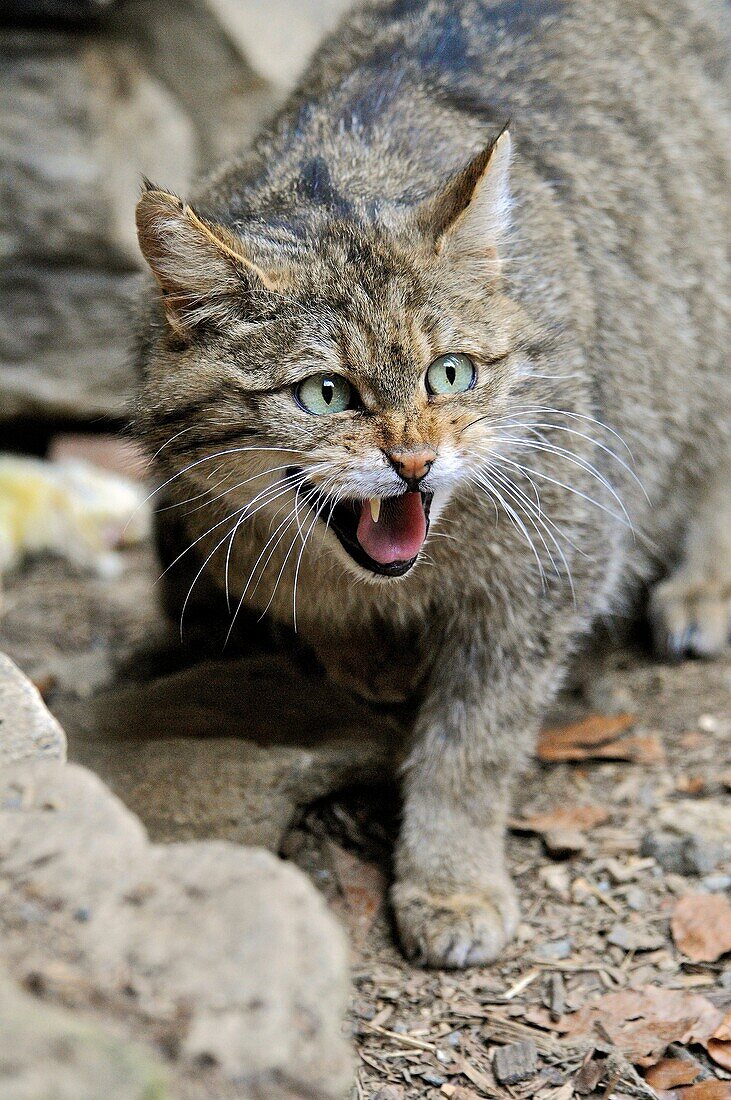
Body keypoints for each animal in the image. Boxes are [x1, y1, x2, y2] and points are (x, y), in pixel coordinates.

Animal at [132, 0, 729, 963]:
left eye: (449, 375)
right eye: (325, 393)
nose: (412, 461)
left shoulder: (551, 570)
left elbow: (470, 742)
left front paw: (448, 881)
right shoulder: (209, 524)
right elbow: (299, 596)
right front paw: (366, 655)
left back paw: (705, 584)